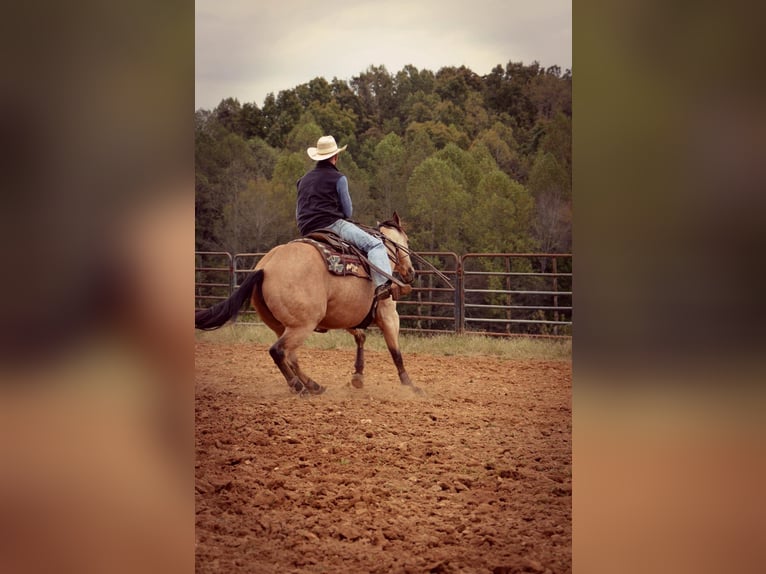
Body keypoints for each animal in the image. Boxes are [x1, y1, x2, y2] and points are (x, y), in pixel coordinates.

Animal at [194, 214, 420, 398]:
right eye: (407, 241)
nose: (411, 272)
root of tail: (265, 268)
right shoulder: (389, 315)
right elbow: (395, 352)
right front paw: (410, 386)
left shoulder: (346, 315)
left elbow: (361, 337)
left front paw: (358, 377)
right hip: (303, 325)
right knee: (278, 351)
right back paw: (299, 387)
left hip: (283, 326)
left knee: (290, 356)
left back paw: (313, 385)